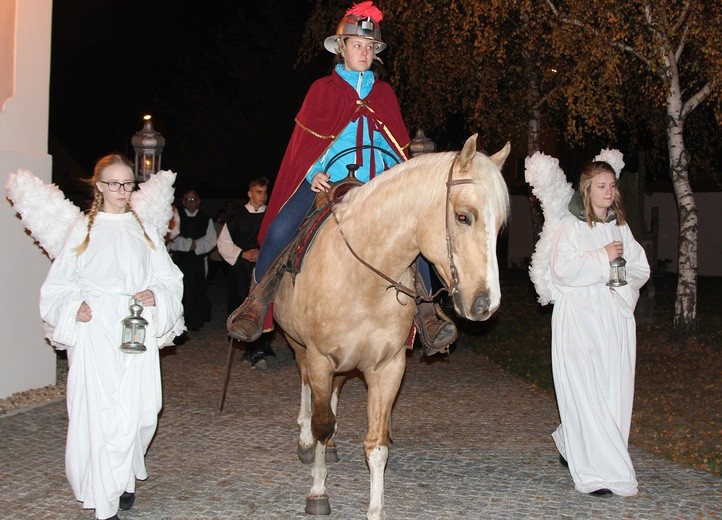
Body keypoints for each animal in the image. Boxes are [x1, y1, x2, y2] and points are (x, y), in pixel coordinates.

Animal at [266, 135, 506, 520]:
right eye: (463, 216)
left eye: (499, 227)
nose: (486, 304)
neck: (362, 278)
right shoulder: (320, 359)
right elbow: (321, 422)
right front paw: (318, 490)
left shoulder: (387, 367)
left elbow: (376, 446)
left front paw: (375, 508)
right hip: (298, 345)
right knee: (306, 390)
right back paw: (305, 440)